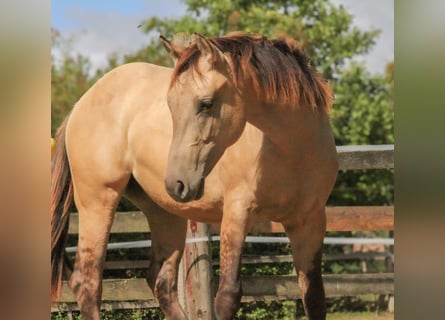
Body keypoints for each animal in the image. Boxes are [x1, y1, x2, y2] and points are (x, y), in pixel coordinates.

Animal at [51, 30, 336, 320]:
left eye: (206, 104)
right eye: (170, 105)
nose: (177, 183)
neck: (291, 150)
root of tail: (79, 105)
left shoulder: (309, 222)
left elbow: (314, 296)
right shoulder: (237, 212)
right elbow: (227, 295)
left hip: (165, 214)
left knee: (161, 282)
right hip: (98, 202)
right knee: (87, 282)